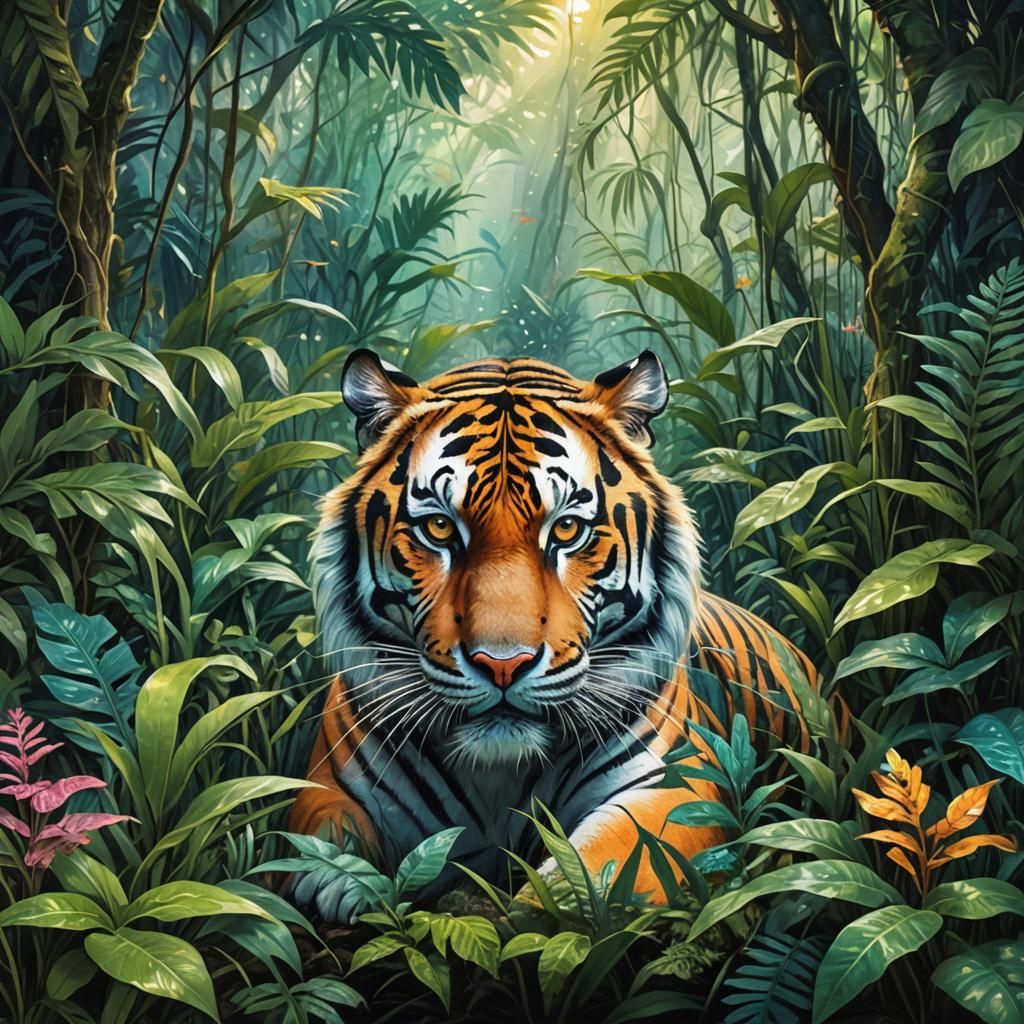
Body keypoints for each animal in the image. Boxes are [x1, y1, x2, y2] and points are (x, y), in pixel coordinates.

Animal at [289, 348, 827, 922]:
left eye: (567, 530)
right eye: (439, 528)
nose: (502, 664)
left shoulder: (671, 787)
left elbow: (598, 868)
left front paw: (529, 907)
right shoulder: (327, 785)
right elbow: (321, 839)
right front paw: (345, 881)